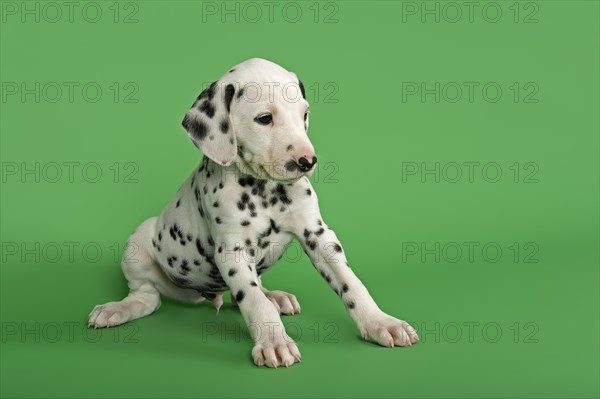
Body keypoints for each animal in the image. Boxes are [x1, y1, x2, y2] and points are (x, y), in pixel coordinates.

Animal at [89, 57, 418, 368]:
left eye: (304, 115)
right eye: (264, 118)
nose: (307, 161)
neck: (264, 190)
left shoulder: (318, 235)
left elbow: (351, 283)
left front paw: (380, 322)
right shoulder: (232, 252)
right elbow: (253, 302)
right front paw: (275, 342)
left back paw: (276, 296)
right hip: (140, 243)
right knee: (148, 297)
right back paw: (117, 309)